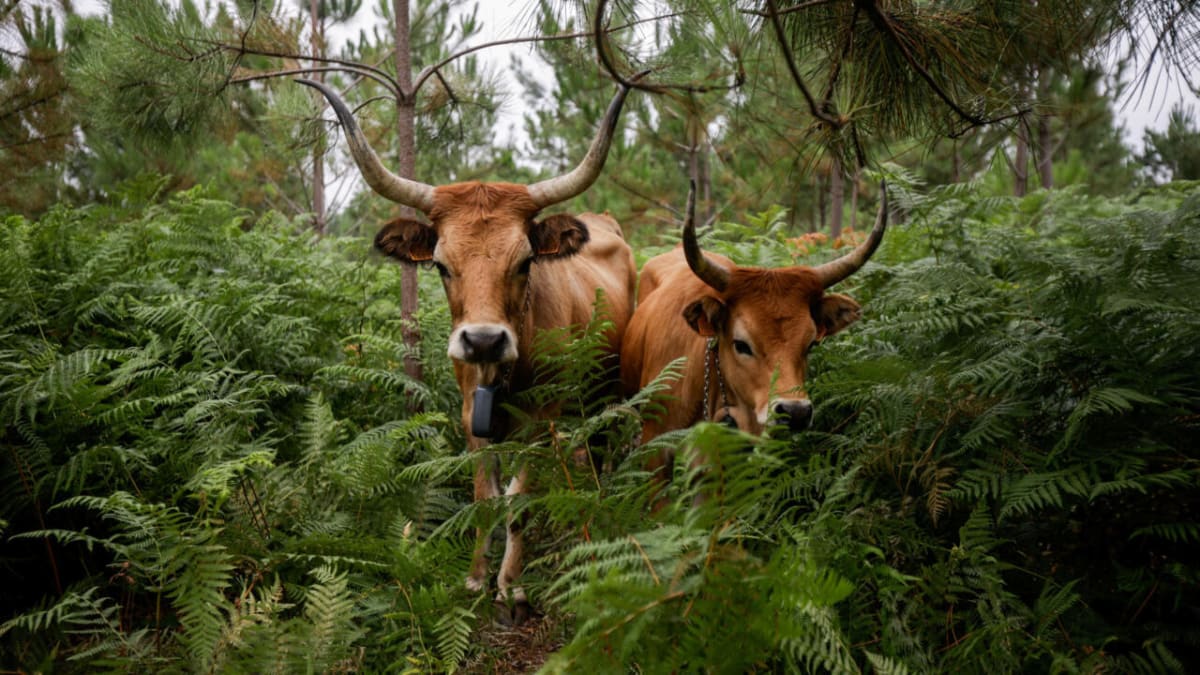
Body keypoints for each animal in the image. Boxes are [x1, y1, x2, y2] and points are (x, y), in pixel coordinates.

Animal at [299, 79, 637, 622]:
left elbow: (518, 499)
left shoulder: (541, 421)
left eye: (525, 262)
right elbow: (484, 495)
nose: (482, 339)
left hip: (605, 388)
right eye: (440, 265)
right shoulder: (469, 417)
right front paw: (477, 577)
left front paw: (511, 586)